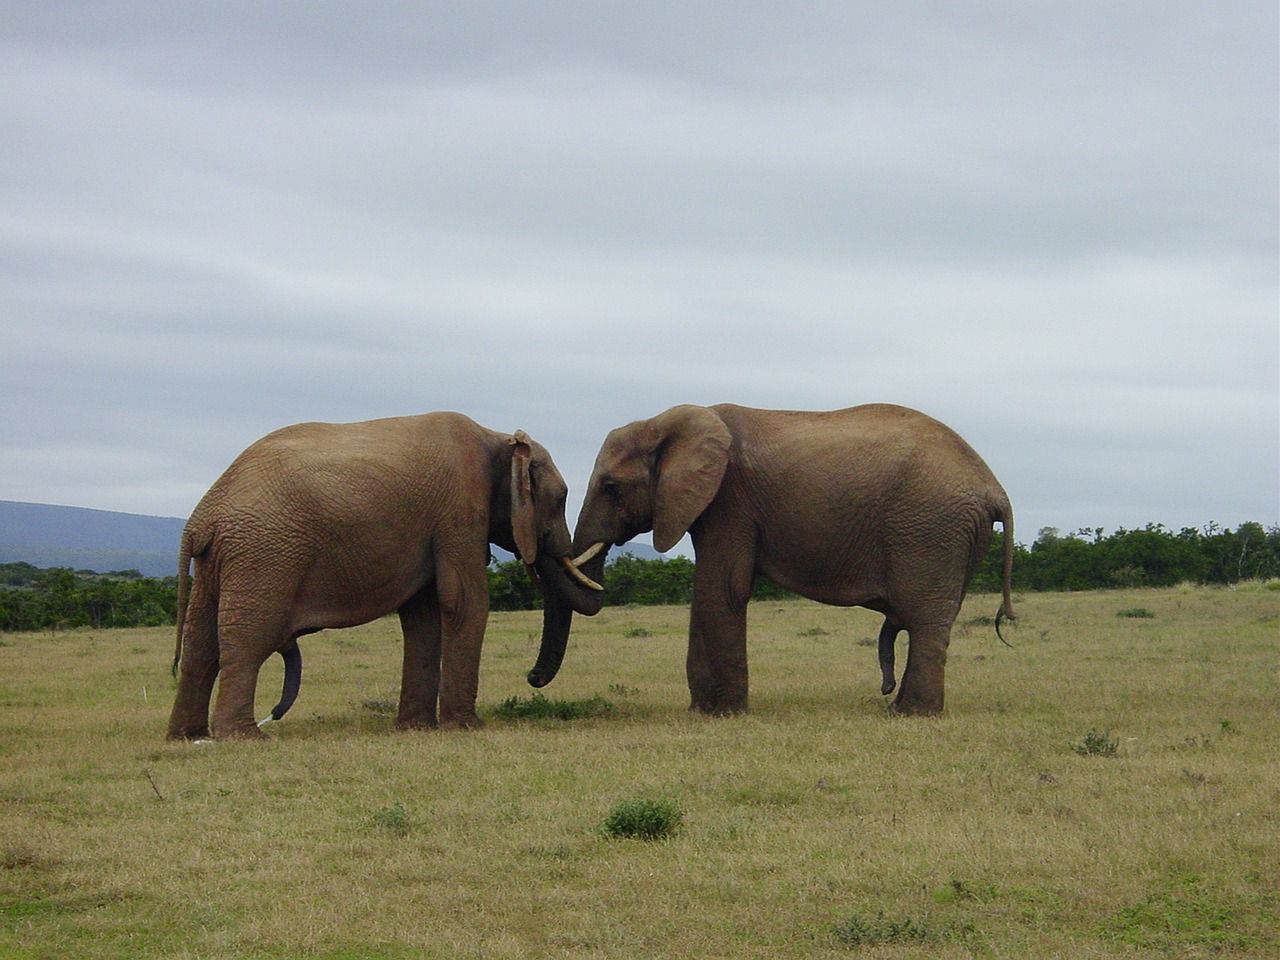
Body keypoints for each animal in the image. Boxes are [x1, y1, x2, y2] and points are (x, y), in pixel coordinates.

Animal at [166, 409, 604, 742]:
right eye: (561, 498)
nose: (531, 677)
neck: (498, 438)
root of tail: (202, 517)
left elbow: (423, 615)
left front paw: (416, 729)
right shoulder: (460, 511)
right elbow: (464, 603)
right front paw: (467, 728)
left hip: (220, 561)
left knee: (200, 645)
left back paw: (187, 736)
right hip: (264, 555)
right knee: (248, 641)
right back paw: (245, 738)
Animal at [547, 404, 1008, 716]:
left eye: (611, 487)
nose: (534, 680)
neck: (666, 423)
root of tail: (994, 488)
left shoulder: (729, 500)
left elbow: (722, 587)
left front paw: (723, 714)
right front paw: (702, 711)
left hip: (930, 529)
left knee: (925, 620)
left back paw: (909, 714)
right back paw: (901, 708)